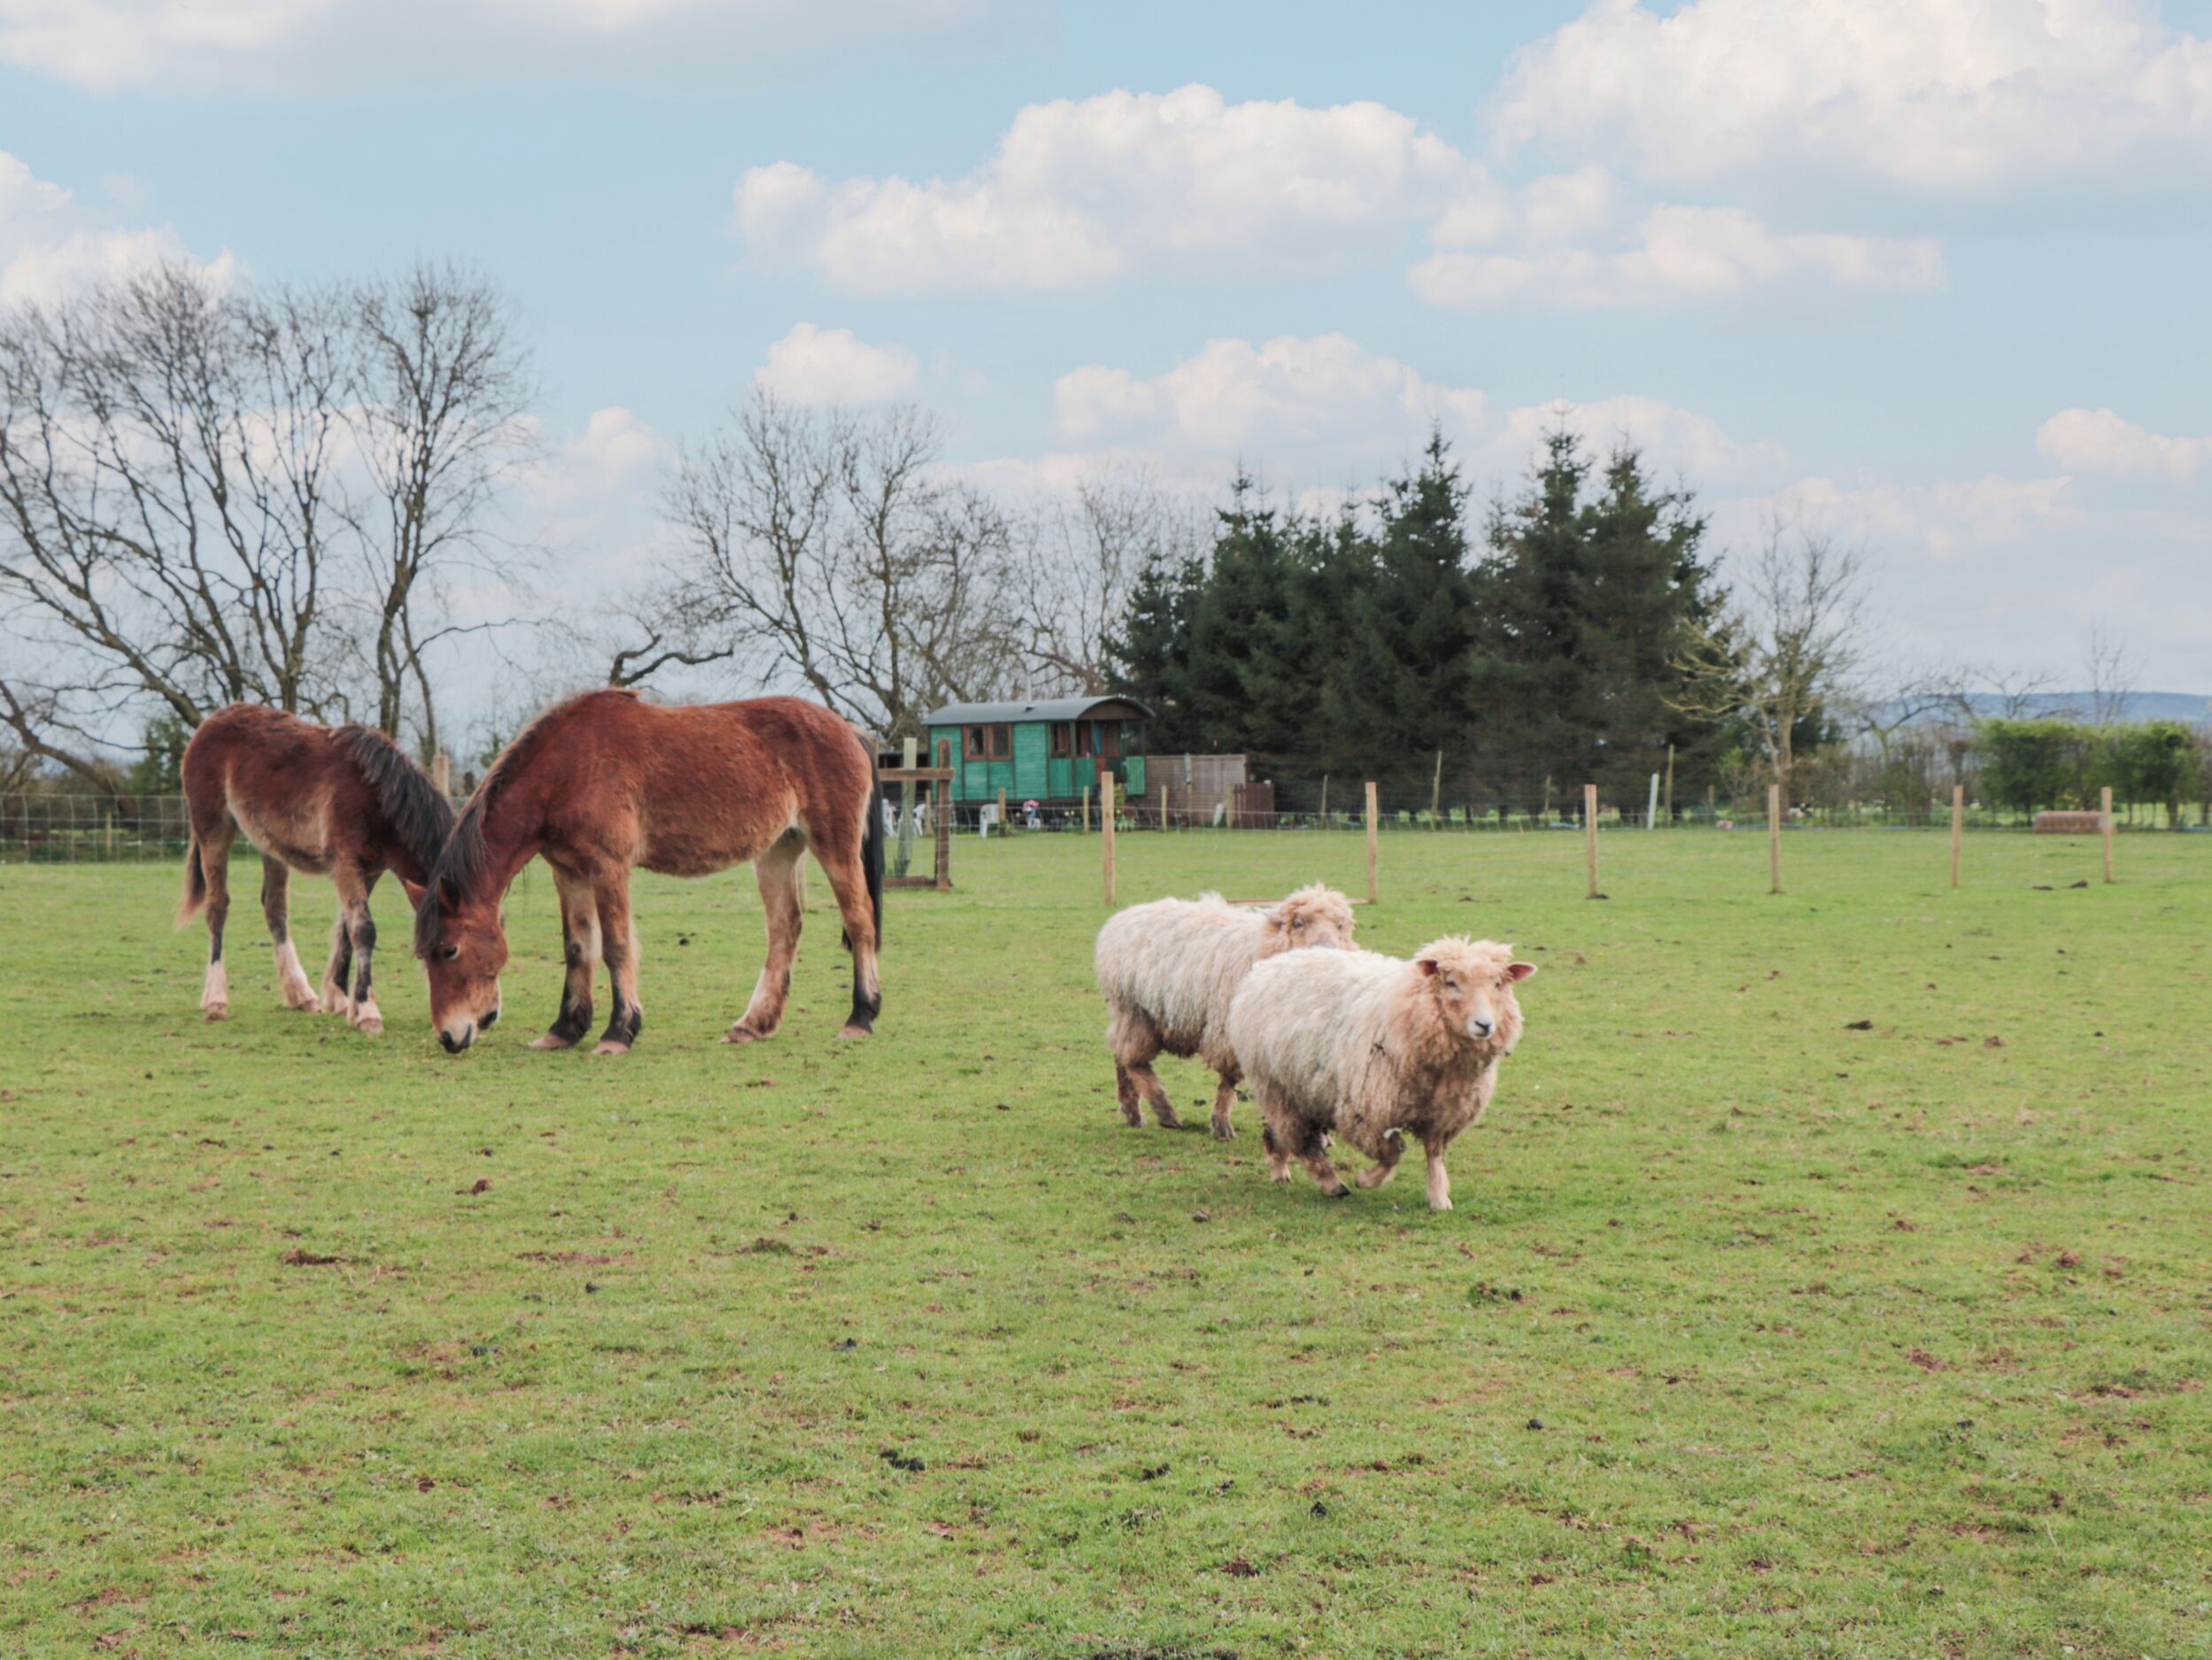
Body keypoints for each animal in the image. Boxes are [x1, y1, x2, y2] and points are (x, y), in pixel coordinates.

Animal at [177, 704, 456, 1033]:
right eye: (451, 950)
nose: (466, 1027)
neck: (377, 797)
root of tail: (212, 722)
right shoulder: (346, 864)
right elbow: (363, 930)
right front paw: (367, 1012)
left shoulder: (370, 870)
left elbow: (348, 929)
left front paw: (341, 1000)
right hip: (213, 830)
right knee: (217, 907)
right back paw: (217, 999)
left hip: (269, 845)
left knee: (275, 909)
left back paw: (301, 995)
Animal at [412, 689, 883, 1057]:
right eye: (425, 954)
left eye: (450, 950)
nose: (449, 1036)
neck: (569, 767)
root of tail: (850, 731)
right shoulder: (569, 872)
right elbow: (578, 948)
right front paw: (564, 1030)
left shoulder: (608, 869)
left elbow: (616, 947)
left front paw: (618, 1032)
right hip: (777, 852)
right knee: (785, 929)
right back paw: (752, 1025)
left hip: (835, 848)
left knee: (859, 922)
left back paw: (860, 1018)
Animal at [1094, 884, 1357, 1138]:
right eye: (1299, 923)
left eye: (1340, 925)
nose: (1328, 950)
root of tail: (1122, 916)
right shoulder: (1229, 1031)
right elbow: (1230, 1079)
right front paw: (1221, 1123)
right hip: (1134, 1010)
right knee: (1132, 1060)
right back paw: (1163, 1110)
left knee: (1120, 1056)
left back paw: (1132, 1110)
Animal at [1225, 936, 1535, 1210]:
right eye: (1451, 982)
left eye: (1498, 984)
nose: (1485, 1025)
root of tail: (1270, 965)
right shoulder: (1368, 1114)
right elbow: (1393, 1154)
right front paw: (1366, 1180)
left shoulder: (1443, 1115)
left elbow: (1434, 1156)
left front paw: (1439, 1198)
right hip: (1275, 1085)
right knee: (1301, 1140)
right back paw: (1331, 1183)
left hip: (1301, 1088)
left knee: (1279, 1131)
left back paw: (1280, 1168)